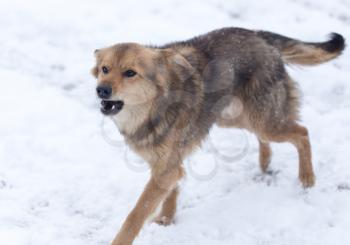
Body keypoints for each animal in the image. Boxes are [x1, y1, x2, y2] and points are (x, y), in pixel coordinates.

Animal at [91, 27, 344, 244]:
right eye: (105, 69)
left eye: (130, 73)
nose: (101, 90)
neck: (153, 109)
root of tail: (258, 34)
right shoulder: (167, 167)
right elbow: (172, 193)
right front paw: (166, 219)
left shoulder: (166, 169)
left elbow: (134, 217)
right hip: (232, 117)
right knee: (267, 137)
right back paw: (265, 163)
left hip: (262, 121)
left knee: (302, 133)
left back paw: (307, 178)